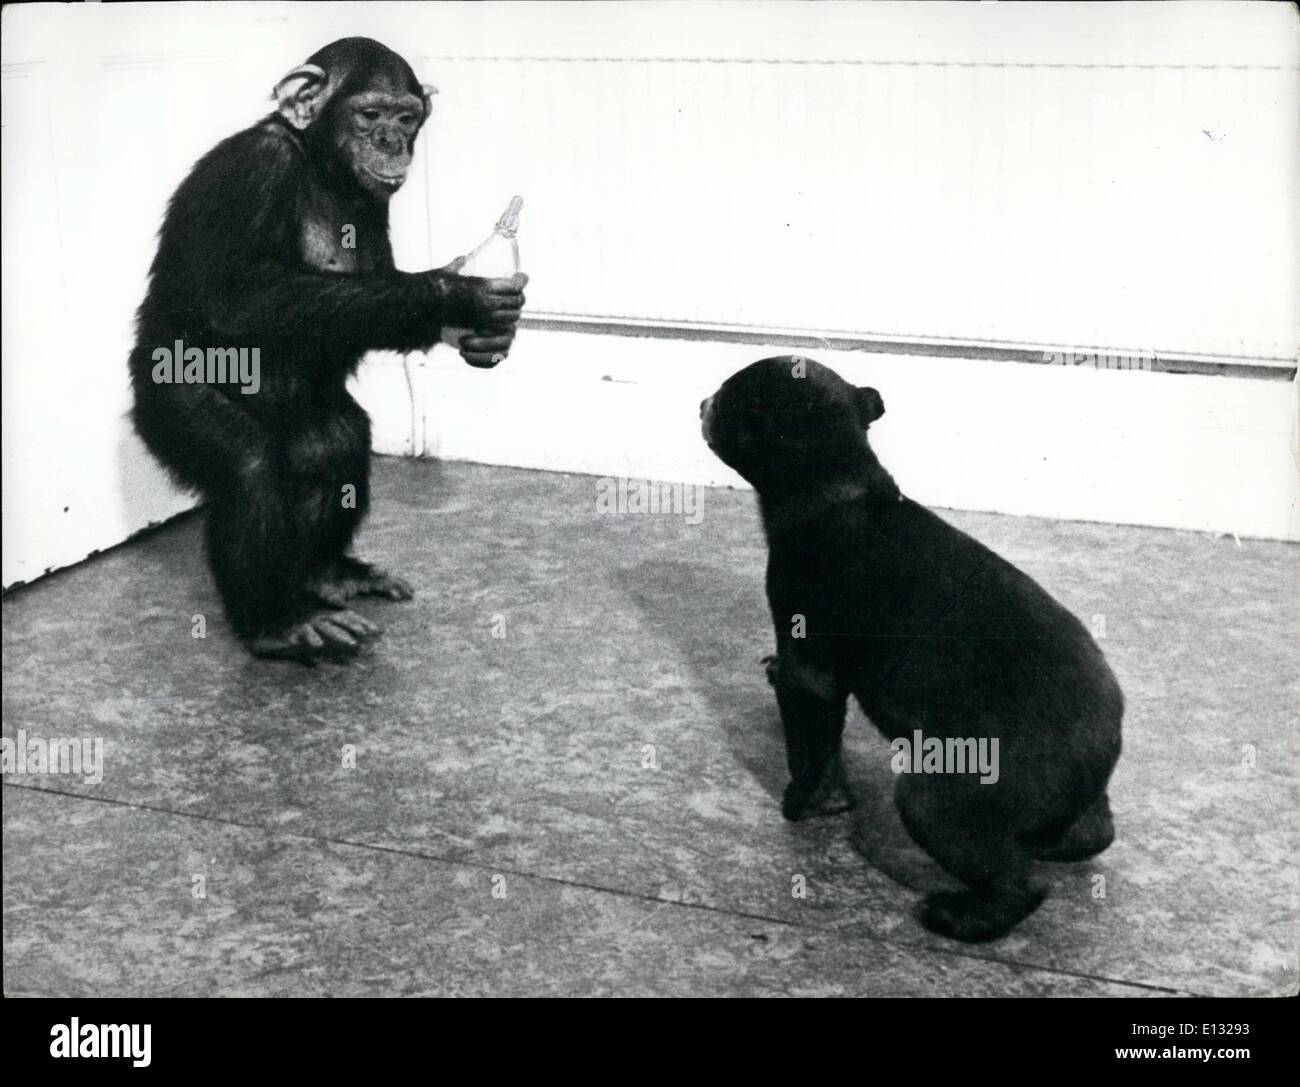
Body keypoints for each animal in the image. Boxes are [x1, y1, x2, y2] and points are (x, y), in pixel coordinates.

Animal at [700, 355, 1123, 942]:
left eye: (724, 398)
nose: (701, 403)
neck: (834, 485)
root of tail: (1104, 747)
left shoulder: (809, 661)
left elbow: (811, 737)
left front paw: (808, 805)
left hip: (941, 797)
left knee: (1017, 881)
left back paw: (959, 916)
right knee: (1091, 834)